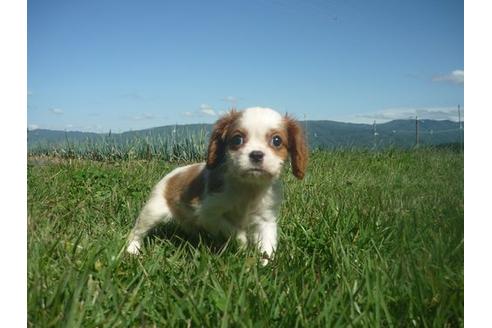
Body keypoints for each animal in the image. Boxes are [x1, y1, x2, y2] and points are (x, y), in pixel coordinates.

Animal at [126, 107, 308, 264]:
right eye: (237, 139)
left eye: (277, 141)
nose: (256, 154)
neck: (249, 187)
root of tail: (172, 174)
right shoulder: (209, 213)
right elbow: (233, 229)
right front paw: (243, 243)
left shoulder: (266, 219)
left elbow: (267, 243)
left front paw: (266, 266)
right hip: (153, 210)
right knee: (137, 231)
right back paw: (132, 251)